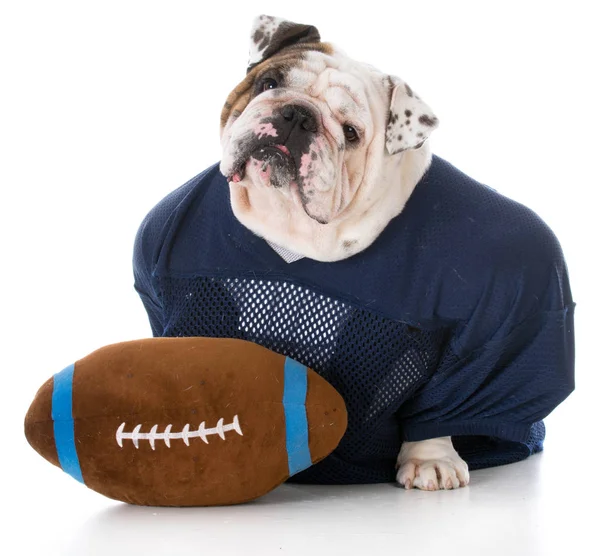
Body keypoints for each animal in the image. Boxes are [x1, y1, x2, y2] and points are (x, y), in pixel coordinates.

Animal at [134, 13, 576, 490]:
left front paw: (431, 460)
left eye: (350, 133)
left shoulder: (491, 320)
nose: (297, 115)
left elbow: (441, 405)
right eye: (269, 82)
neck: (296, 225)